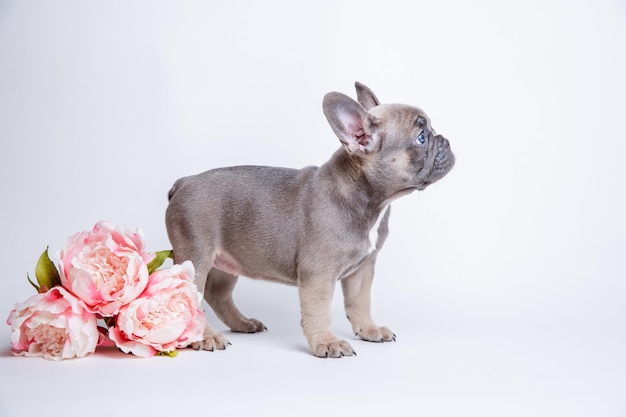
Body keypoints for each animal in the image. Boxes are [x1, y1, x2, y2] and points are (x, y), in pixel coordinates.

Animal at [163, 82, 450, 358]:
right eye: (421, 137)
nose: (445, 140)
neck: (368, 197)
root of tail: (184, 182)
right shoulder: (318, 273)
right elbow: (319, 311)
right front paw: (327, 341)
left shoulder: (362, 270)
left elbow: (360, 302)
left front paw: (368, 328)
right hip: (196, 257)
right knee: (194, 294)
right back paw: (205, 336)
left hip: (227, 261)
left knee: (217, 293)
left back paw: (242, 323)